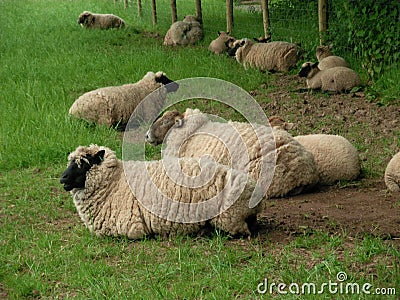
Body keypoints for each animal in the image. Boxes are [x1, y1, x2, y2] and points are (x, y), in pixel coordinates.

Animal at [58, 144, 260, 239]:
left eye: (84, 164)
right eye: (70, 161)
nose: (62, 179)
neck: (114, 183)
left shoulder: (132, 228)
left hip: (229, 218)